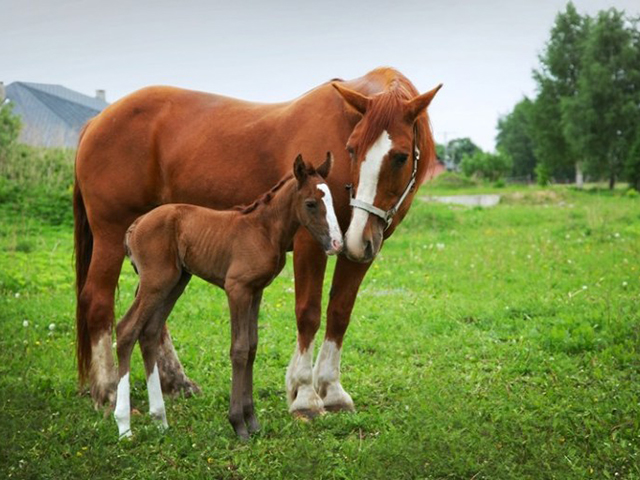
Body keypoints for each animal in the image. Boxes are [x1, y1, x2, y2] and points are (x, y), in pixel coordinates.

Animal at [112, 154, 342, 438]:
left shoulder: (256, 291)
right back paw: (124, 426)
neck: (264, 230)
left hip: (175, 281)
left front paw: (253, 421)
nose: (337, 244)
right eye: (310, 203)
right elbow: (239, 349)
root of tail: (135, 225)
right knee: (126, 330)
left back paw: (160, 419)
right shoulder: (237, 289)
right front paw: (238, 424)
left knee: (150, 333)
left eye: (331, 201)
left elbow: (252, 347)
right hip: (155, 282)